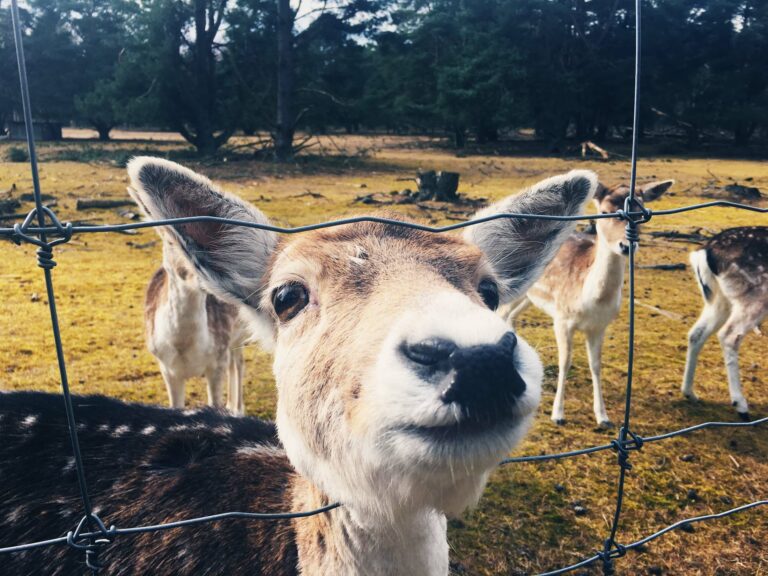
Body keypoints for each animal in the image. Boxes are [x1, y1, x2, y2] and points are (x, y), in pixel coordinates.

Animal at [498, 180, 672, 428]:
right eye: (605, 212)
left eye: (641, 214)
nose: (626, 246)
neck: (589, 300)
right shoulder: (562, 319)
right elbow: (565, 362)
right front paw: (558, 414)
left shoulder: (600, 326)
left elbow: (596, 365)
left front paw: (603, 416)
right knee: (501, 313)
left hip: (528, 297)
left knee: (511, 316)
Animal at [680, 225, 764, 418]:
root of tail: (704, 251)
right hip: (756, 296)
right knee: (729, 335)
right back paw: (740, 405)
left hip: (720, 299)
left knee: (696, 333)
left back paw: (690, 392)